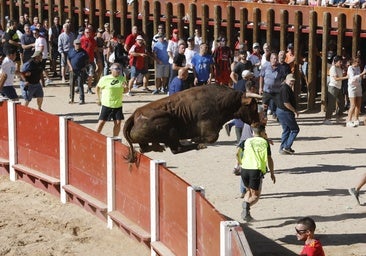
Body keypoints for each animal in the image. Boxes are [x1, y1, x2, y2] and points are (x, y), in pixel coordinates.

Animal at [123, 85, 260, 163]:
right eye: (253, 106)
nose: (257, 123)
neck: (220, 101)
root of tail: (135, 114)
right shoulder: (208, 127)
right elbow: (212, 137)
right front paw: (197, 140)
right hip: (170, 127)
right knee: (176, 149)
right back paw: (198, 145)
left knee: (145, 148)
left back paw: (158, 147)